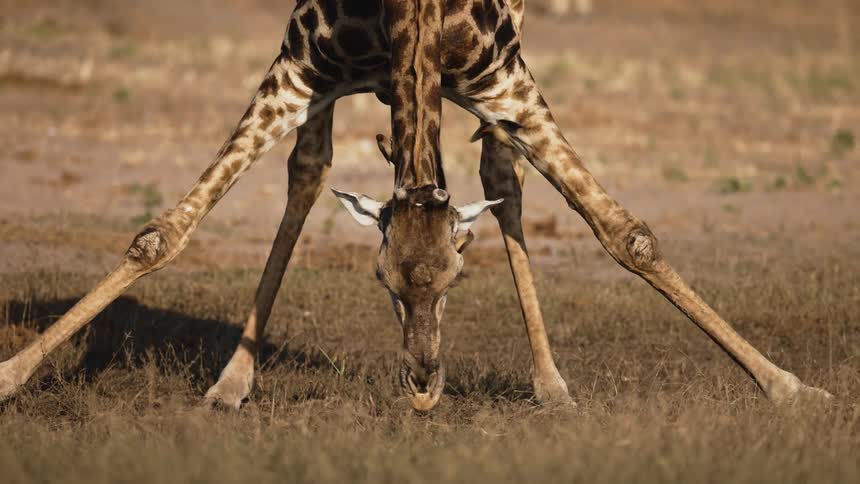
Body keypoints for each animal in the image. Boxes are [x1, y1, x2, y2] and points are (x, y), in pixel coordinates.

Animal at [0, 0, 832, 411]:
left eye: (460, 276)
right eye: (381, 280)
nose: (426, 384)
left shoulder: (507, 81)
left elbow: (626, 233)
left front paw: (791, 387)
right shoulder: (299, 68)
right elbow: (164, 234)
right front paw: (13, 375)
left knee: (506, 182)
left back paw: (553, 386)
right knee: (308, 174)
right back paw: (233, 382)